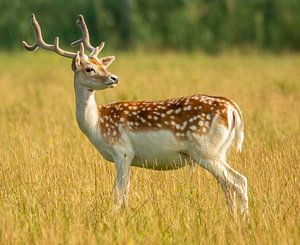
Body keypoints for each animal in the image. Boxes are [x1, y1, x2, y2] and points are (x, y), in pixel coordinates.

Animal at [22, 13, 248, 218]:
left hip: (206, 151)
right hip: (219, 152)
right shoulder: (129, 158)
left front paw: (114, 219)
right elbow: (125, 195)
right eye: (89, 68)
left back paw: (243, 220)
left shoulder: (122, 152)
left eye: (104, 65)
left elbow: (117, 195)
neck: (97, 125)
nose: (114, 78)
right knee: (229, 185)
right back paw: (234, 218)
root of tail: (232, 109)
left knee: (238, 182)